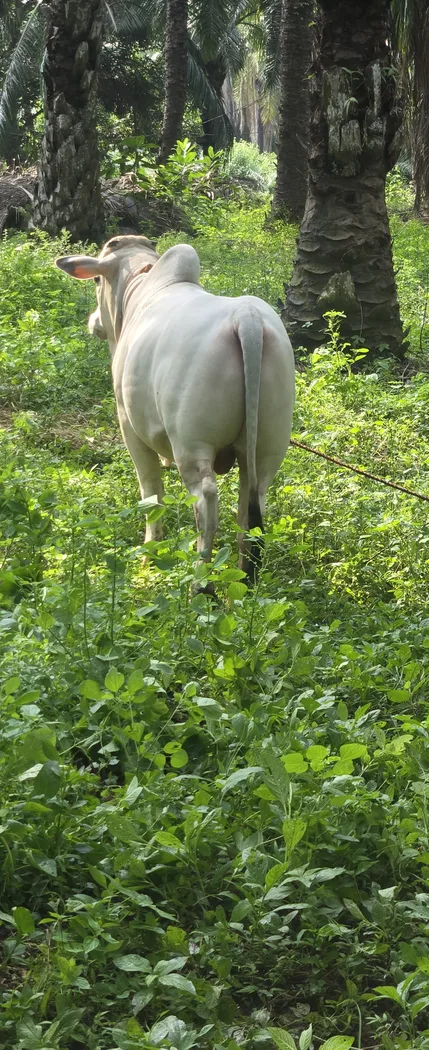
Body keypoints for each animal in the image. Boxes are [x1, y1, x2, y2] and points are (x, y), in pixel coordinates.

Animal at [56, 235, 295, 583]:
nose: (94, 323)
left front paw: (149, 554)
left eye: (97, 280)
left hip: (191, 444)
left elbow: (151, 492)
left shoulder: (129, 424)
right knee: (252, 505)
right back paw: (244, 584)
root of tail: (246, 317)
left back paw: (202, 583)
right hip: (267, 447)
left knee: (205, 500)